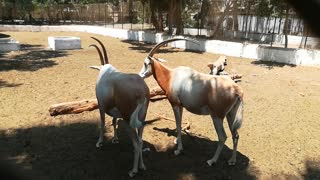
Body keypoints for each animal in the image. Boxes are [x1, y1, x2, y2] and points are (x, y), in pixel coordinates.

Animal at [90, 37, 150, 176]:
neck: (105, 71)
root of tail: (141, 93)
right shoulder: (116, 112)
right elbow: (114, 121)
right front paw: (115, 139)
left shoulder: (101, 106)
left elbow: (102, 123)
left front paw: (99, 143)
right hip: (141, 118)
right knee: (140, 140)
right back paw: (142, 166)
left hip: (128, 120)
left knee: (136, 143)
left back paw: (133, 171)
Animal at [139, 38, 244, 166]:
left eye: (145, 63)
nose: (140, 75)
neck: (171, 76)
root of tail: (237, 90)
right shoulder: (181, 106)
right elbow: (179, 124)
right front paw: (177, 142)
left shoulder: (175, 104)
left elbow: (178, 125)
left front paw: (178, 150)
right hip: (230, 115)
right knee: (236, 135)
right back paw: (232, 160)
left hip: (216, 116)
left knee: (223, 137)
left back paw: (212, 160)